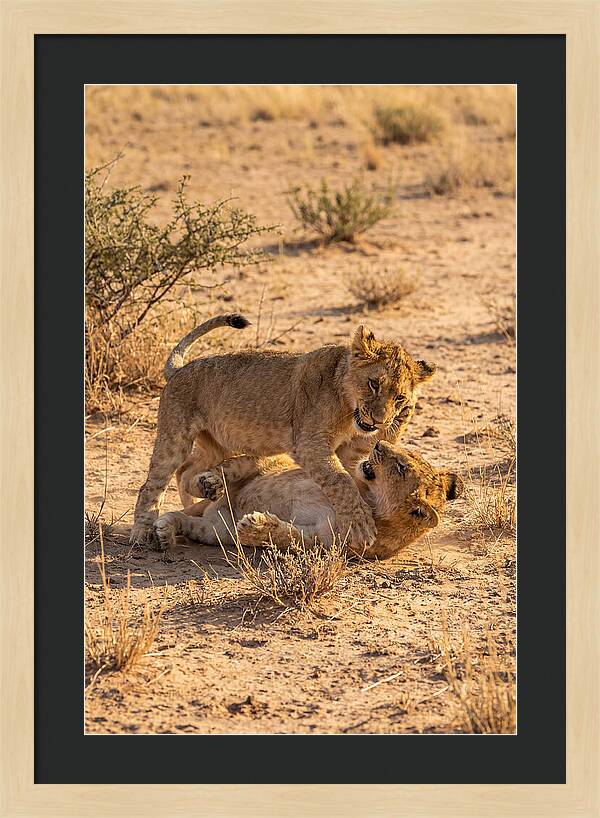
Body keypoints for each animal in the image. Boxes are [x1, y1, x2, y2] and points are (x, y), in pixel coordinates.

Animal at [130, 313, 436, 549]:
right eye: (374, 384)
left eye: (400, 398)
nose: (380, 420)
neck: (349, 409)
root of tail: (180, 369)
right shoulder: (310, 444)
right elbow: (340, 481)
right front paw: (361, 525)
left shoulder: (352, 452)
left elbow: (351, 477)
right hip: (175, 437)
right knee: (152, 484)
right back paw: (143, 532)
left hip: (218, 443)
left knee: (186, 472)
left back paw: (203, 493)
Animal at [153, 441, 463, 560]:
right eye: (405, 454)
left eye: (401, 467)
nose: (377, 444)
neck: (368, 498)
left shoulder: (321, 542)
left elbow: (287, 536)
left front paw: (255, 526)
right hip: (261, 466)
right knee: (233, 467)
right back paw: (208, 483)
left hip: (215, 530)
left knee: (186, 520)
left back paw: (165, 532)